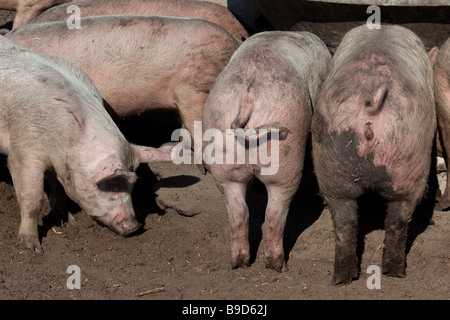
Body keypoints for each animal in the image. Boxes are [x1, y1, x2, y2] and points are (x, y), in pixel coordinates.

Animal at [0, 35, 174, 252]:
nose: (134, 227)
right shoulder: (24, 151)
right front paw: (32, 247)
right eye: (110, 187)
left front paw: (69, 221)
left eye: (131, 188)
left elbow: (57, 188)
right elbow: (33, 198)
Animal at [203, 31, 330, 272]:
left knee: (238, 211)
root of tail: (249, 98)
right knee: (274, 212)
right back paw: (277, 265)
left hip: (223, 150)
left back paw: (239, 263)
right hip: (286, 149)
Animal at [312, 25, 436, 284]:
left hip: (332, 164)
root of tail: (371, 101)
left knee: (345, 222)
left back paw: (343, 278)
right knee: (398, 220)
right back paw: (395, 273)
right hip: (413, 161)